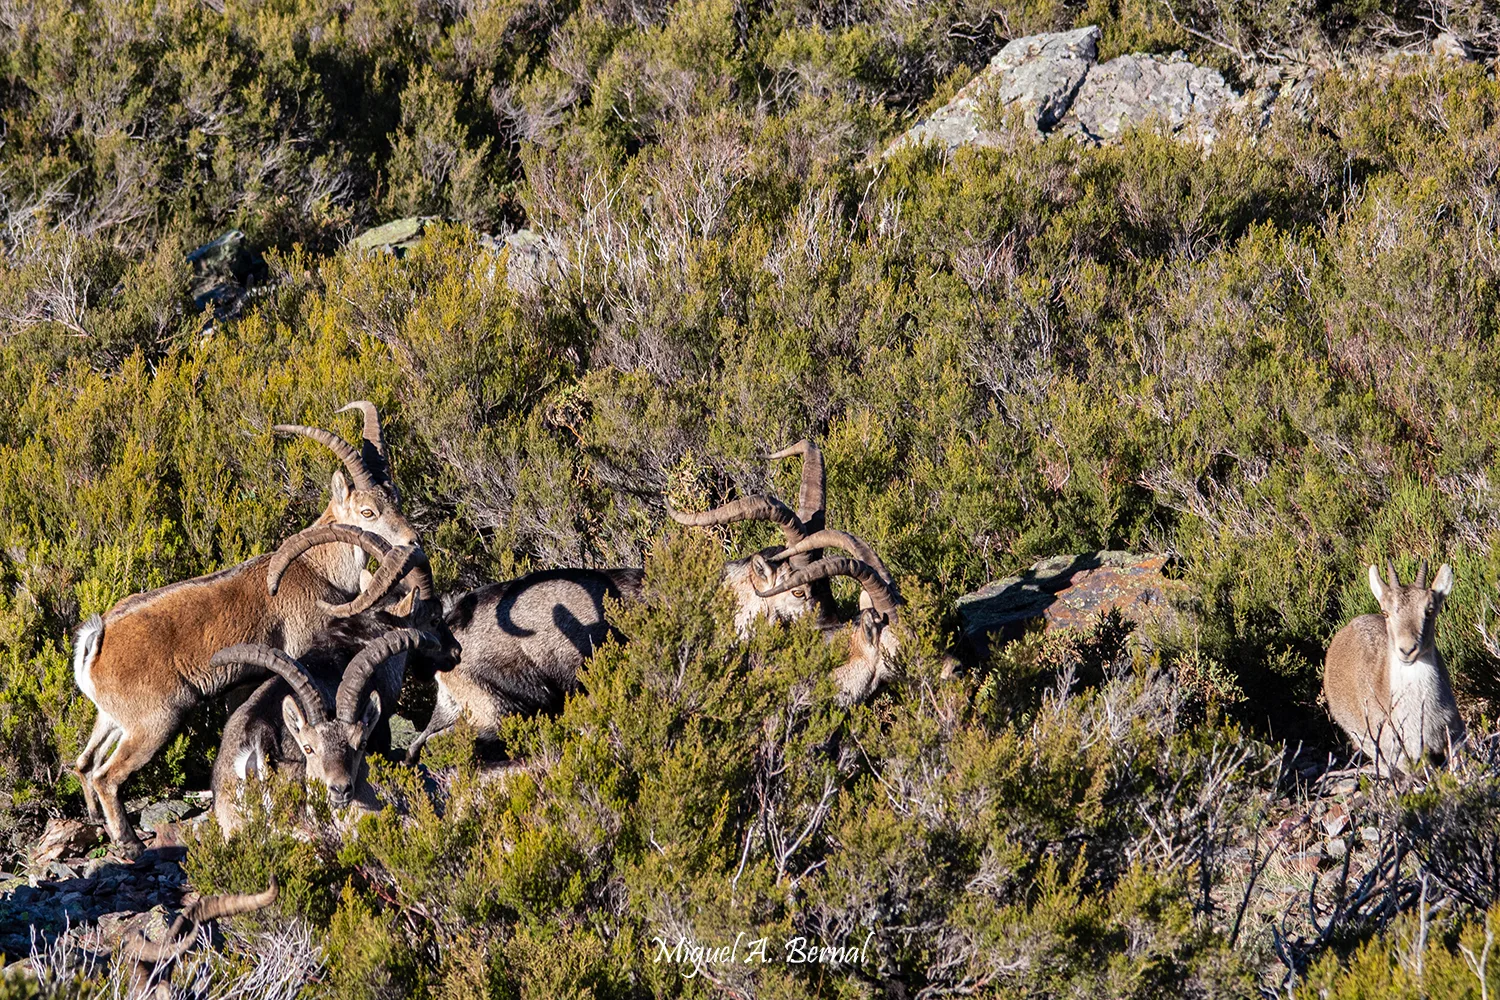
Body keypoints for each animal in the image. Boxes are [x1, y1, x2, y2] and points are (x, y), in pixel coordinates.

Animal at [71, 405, 417, 857]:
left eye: (395, 499)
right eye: (367, 512)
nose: (412, 540)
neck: (316, 568)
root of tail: (97, 641)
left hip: (111, 718)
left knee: (85, 762)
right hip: (153, 723)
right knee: (106, 775)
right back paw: (128, 843)